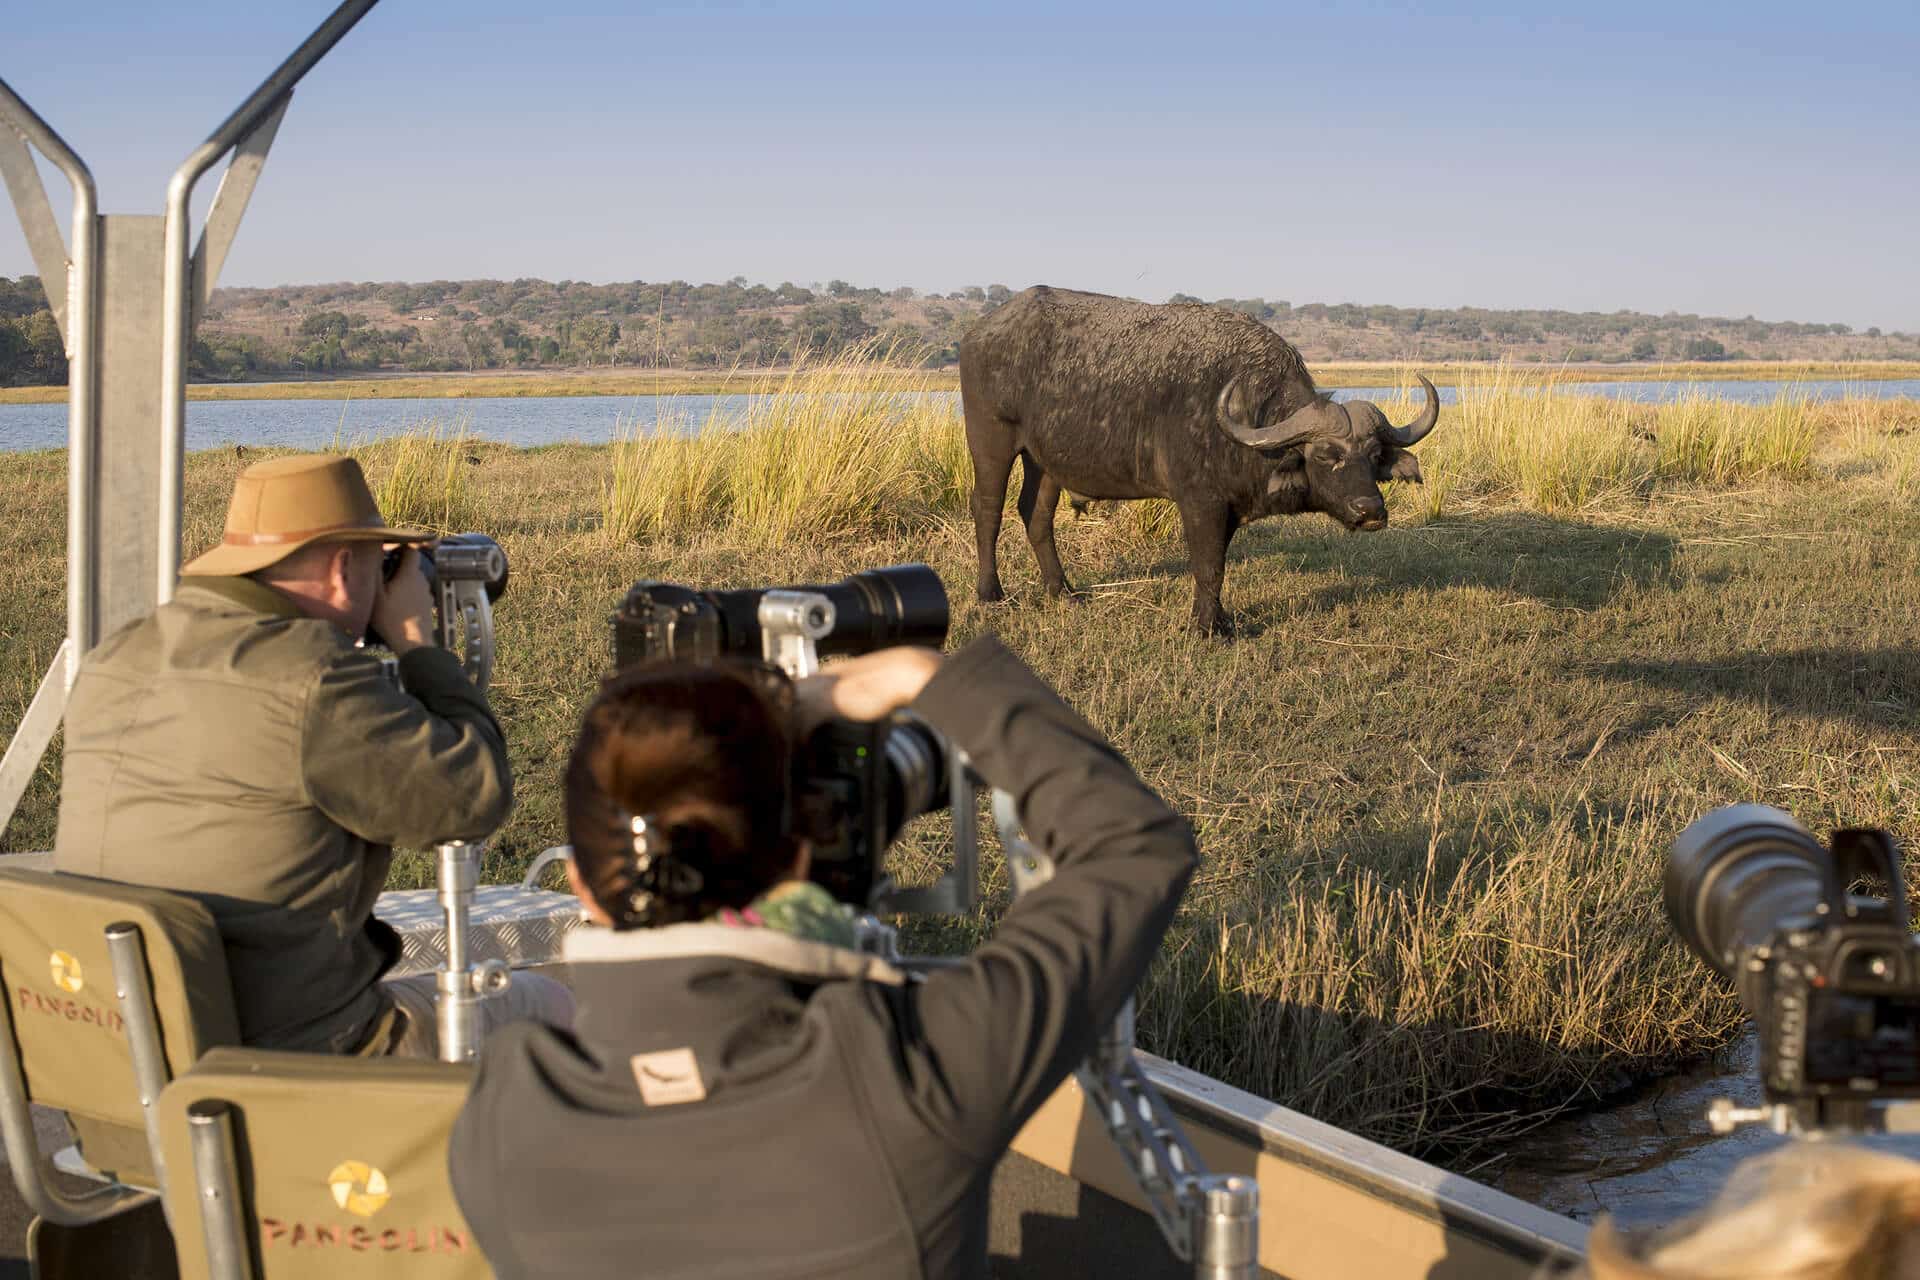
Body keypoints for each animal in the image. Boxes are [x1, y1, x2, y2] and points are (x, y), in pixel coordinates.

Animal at [960, 286, 1440, 634]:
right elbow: (1208, 566)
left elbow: (1218, 566)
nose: (1370, 510)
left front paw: (1218, 618)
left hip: (1045, 462)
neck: (1245, 415)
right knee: (987, 511)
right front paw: (1208, 627)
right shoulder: (1199, 502)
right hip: (991, 441)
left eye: (1373, 455)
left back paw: (1062, 590)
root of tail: (978, 333)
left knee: (1035, 515)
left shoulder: (1227, 509)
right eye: (1326, 454)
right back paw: (990, 593)